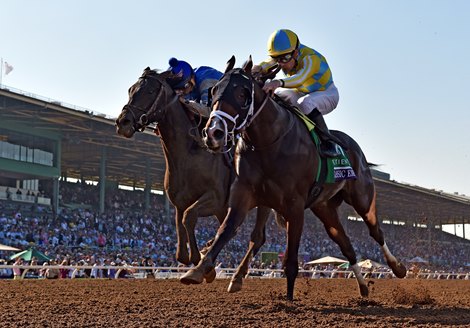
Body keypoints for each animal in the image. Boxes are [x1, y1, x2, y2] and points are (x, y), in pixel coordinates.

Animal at [115, 68, 274, 286]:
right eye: (131, 89)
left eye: (150, 91)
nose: (123, 122)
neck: (189, 153)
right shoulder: (180, 203)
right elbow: (181, 245)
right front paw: (202, 261)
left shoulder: (214, 199)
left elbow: (189, 217)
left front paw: (203, 264)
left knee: (256, 236)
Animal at [180, 57, 408, 300]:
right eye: (213, 91)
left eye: (242, 93)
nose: (213, 133)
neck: (268, 142)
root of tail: (355, 149)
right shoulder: (245, 194)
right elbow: (226, 229)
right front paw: (197, 270)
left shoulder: (294, 205)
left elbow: (290, 260)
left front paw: (288, 299)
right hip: (324, 208)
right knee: (345, 244)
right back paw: (363, 287)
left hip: (362, 198)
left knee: (375, 231)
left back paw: (398, 268)